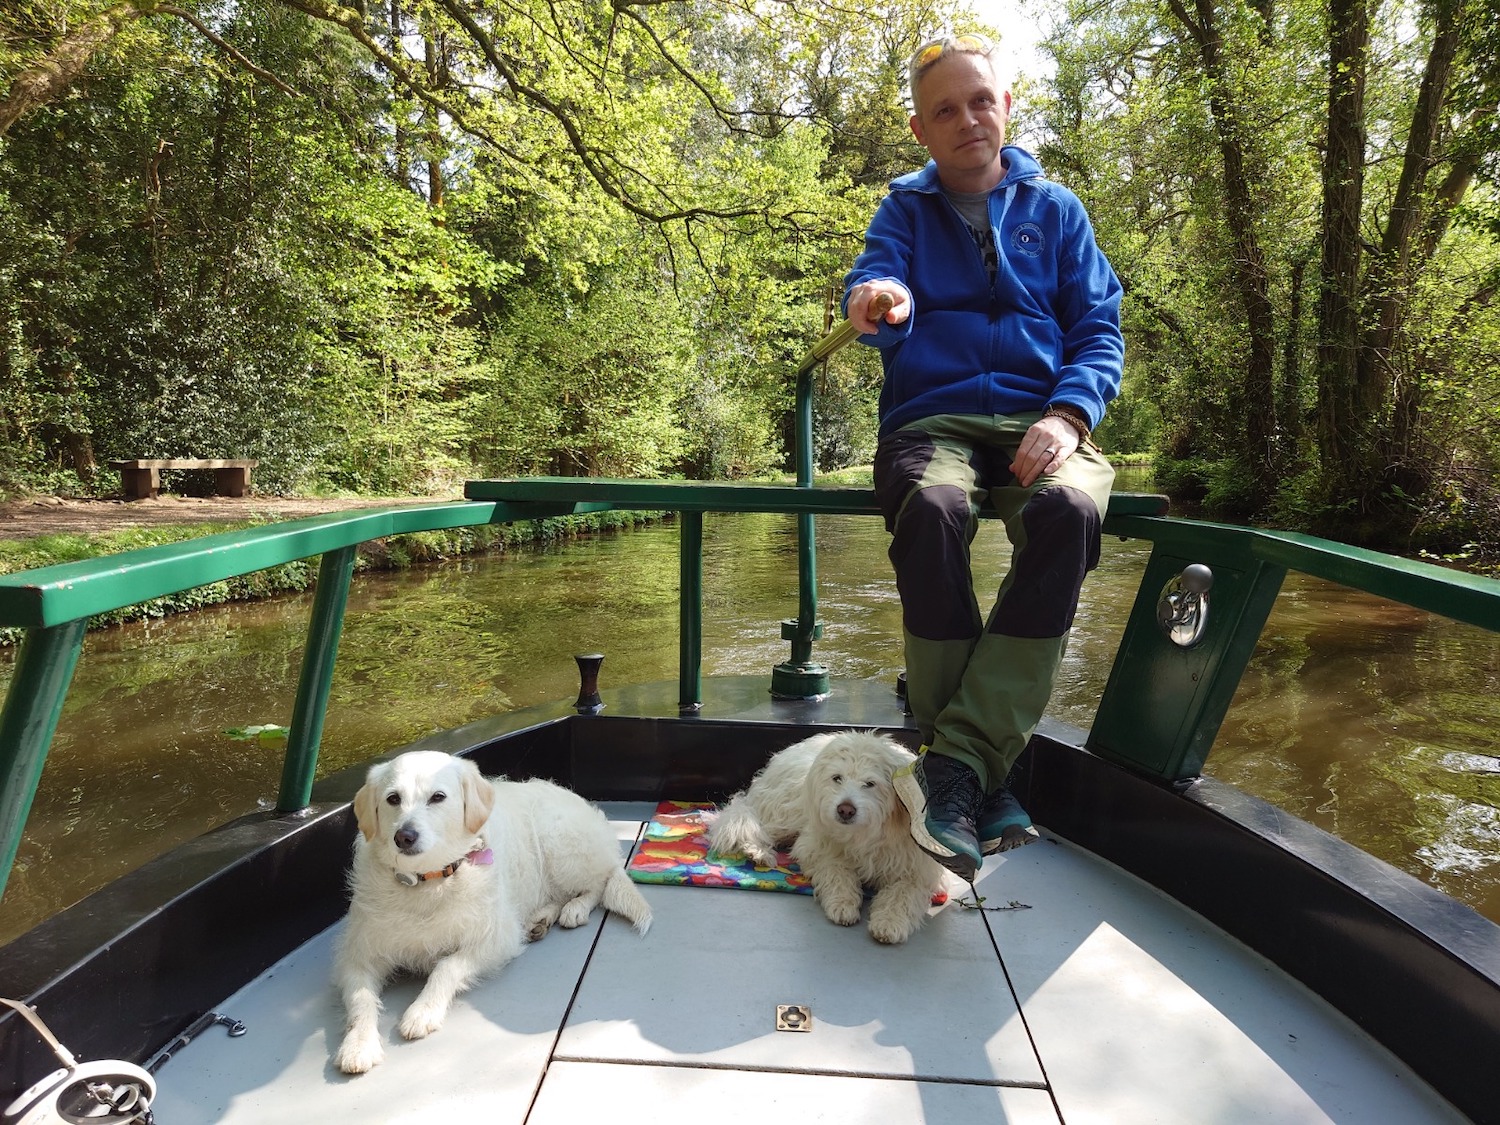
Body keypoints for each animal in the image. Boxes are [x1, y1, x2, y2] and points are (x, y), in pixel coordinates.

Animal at [334, 753, 651, 1080]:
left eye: (438, 797)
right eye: (393, 798)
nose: (404, 837)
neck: (426, 882)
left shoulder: (496, 940)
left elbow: (446, 966)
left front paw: (423, 1011)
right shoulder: (357, 957)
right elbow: (360, 998)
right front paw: (358, 1045)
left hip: (562, 848)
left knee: (599, 883)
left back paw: (575, 909)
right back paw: (540, 920)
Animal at [705, 732, 942, 942]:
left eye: (870, 783)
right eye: (837, 778)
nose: (845, 810)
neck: (865, 833)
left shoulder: (918, 871)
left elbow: (903, 893)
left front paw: (889, 922)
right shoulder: (817, 849)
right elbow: (836, 871)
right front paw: (842, 903)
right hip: (786, 812)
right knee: (753, 824)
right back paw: (758, 852)